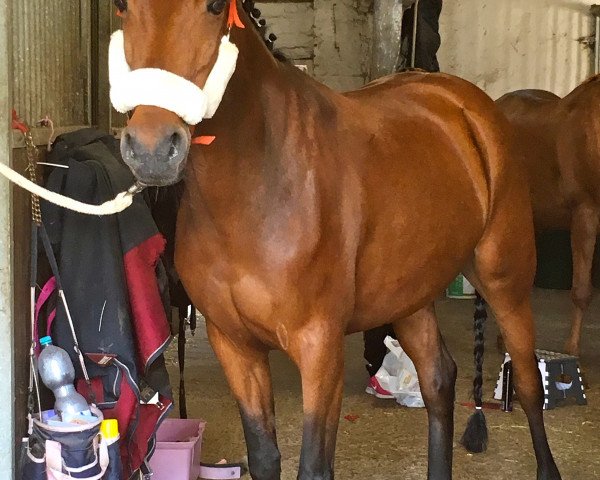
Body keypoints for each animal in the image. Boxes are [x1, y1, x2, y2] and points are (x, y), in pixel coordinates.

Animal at [111, 1, 564, 478]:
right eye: (122, 7)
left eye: (215, 7)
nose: (153, 150)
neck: (259, 185)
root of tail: (467, 104)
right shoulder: (235, 346)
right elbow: (264, 456)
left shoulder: (320, 348)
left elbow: (313, 465)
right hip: (409, 295)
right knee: (439, 378)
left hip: (505, 281)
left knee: (529, 385)